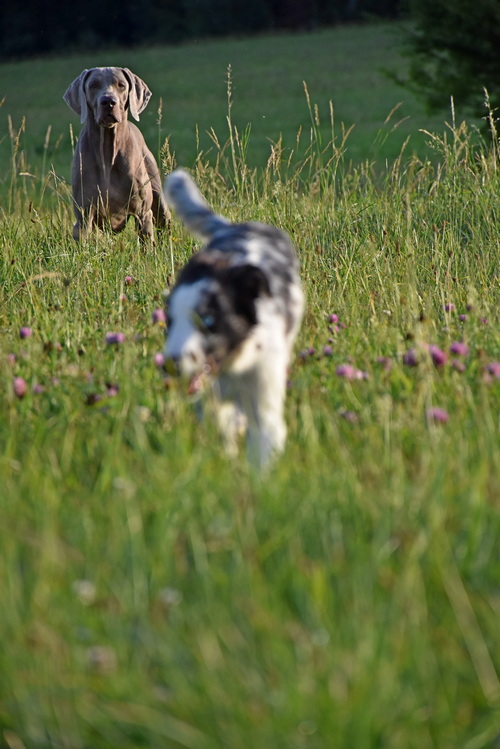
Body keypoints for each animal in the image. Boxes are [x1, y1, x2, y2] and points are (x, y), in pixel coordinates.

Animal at [64, 67, 170, 241]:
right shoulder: (84, 215)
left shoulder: (142, 212)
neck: (108, 150)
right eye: (93, 85)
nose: (108, 101)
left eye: (121, 85)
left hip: (158, 198)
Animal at [164, 169, 304, 468]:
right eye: (169, 321)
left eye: (208, 320)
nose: (170, 366)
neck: (234, 366)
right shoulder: (211, 407)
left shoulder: (264, 410)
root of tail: (235, 227)